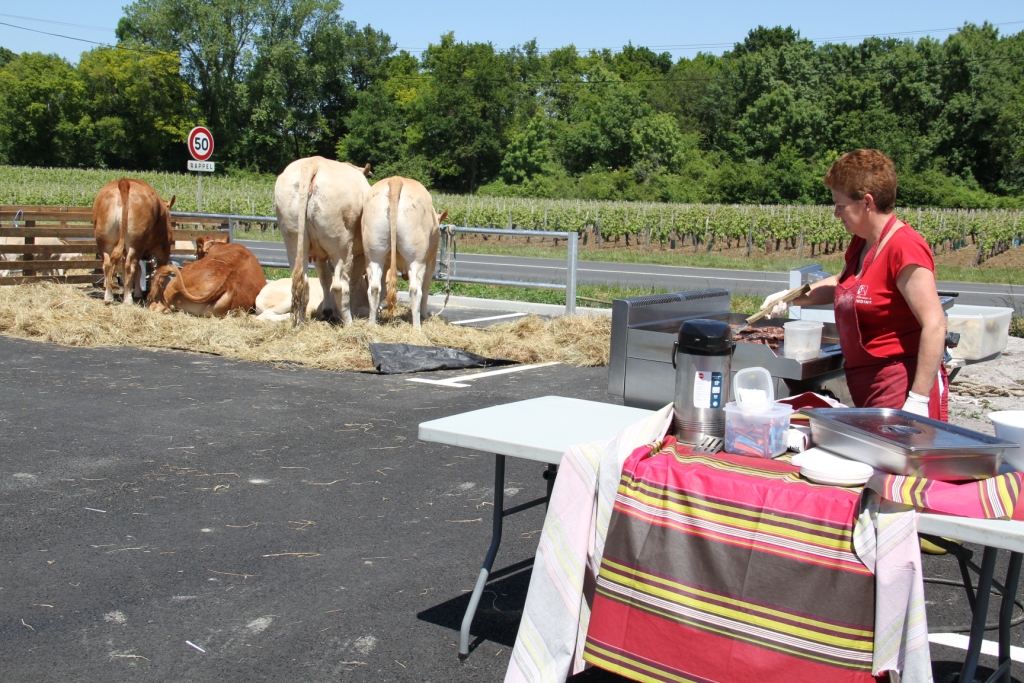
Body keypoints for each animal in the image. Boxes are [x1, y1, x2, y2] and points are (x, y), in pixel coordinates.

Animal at [272, 156, 372, 325]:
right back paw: (348, 322)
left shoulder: (318, 255)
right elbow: (352, 282)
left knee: (302, 282)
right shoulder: (360, 255)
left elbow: (324, 279)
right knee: (340, 285)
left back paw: (300, 322)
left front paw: (327, 311)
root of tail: (312, 163)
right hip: (341, 246)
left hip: (293, 241)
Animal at [362, 175, 446, 327]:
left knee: (374, 288)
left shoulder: (386, 263)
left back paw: (372, 323)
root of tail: (396, 179)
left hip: (374, 253)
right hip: (417, 258)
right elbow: (426, 289)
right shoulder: (430, 262)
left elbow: (383, 288)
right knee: (415, 290)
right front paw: (425, 315)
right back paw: (417, 326)